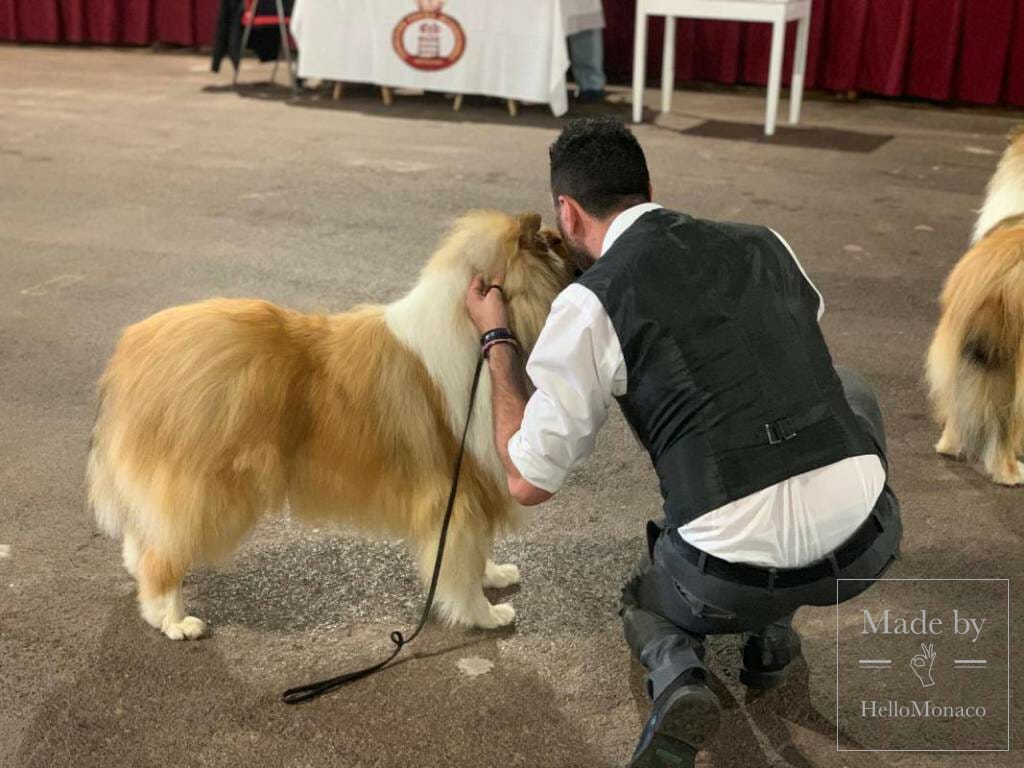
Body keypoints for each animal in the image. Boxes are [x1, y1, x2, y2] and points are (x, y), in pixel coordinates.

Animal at [86, 210, 577, 638]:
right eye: (554, 243)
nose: (576, 254)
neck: (478, 336)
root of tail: (130, 352)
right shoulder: (458, 491)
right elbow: (461, 559)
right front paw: (486, 614)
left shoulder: (474, 480)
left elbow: (476, 554)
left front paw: (496, 575)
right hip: (208, 491)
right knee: (162, 555)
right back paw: (174, 621)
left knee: (145, 537)